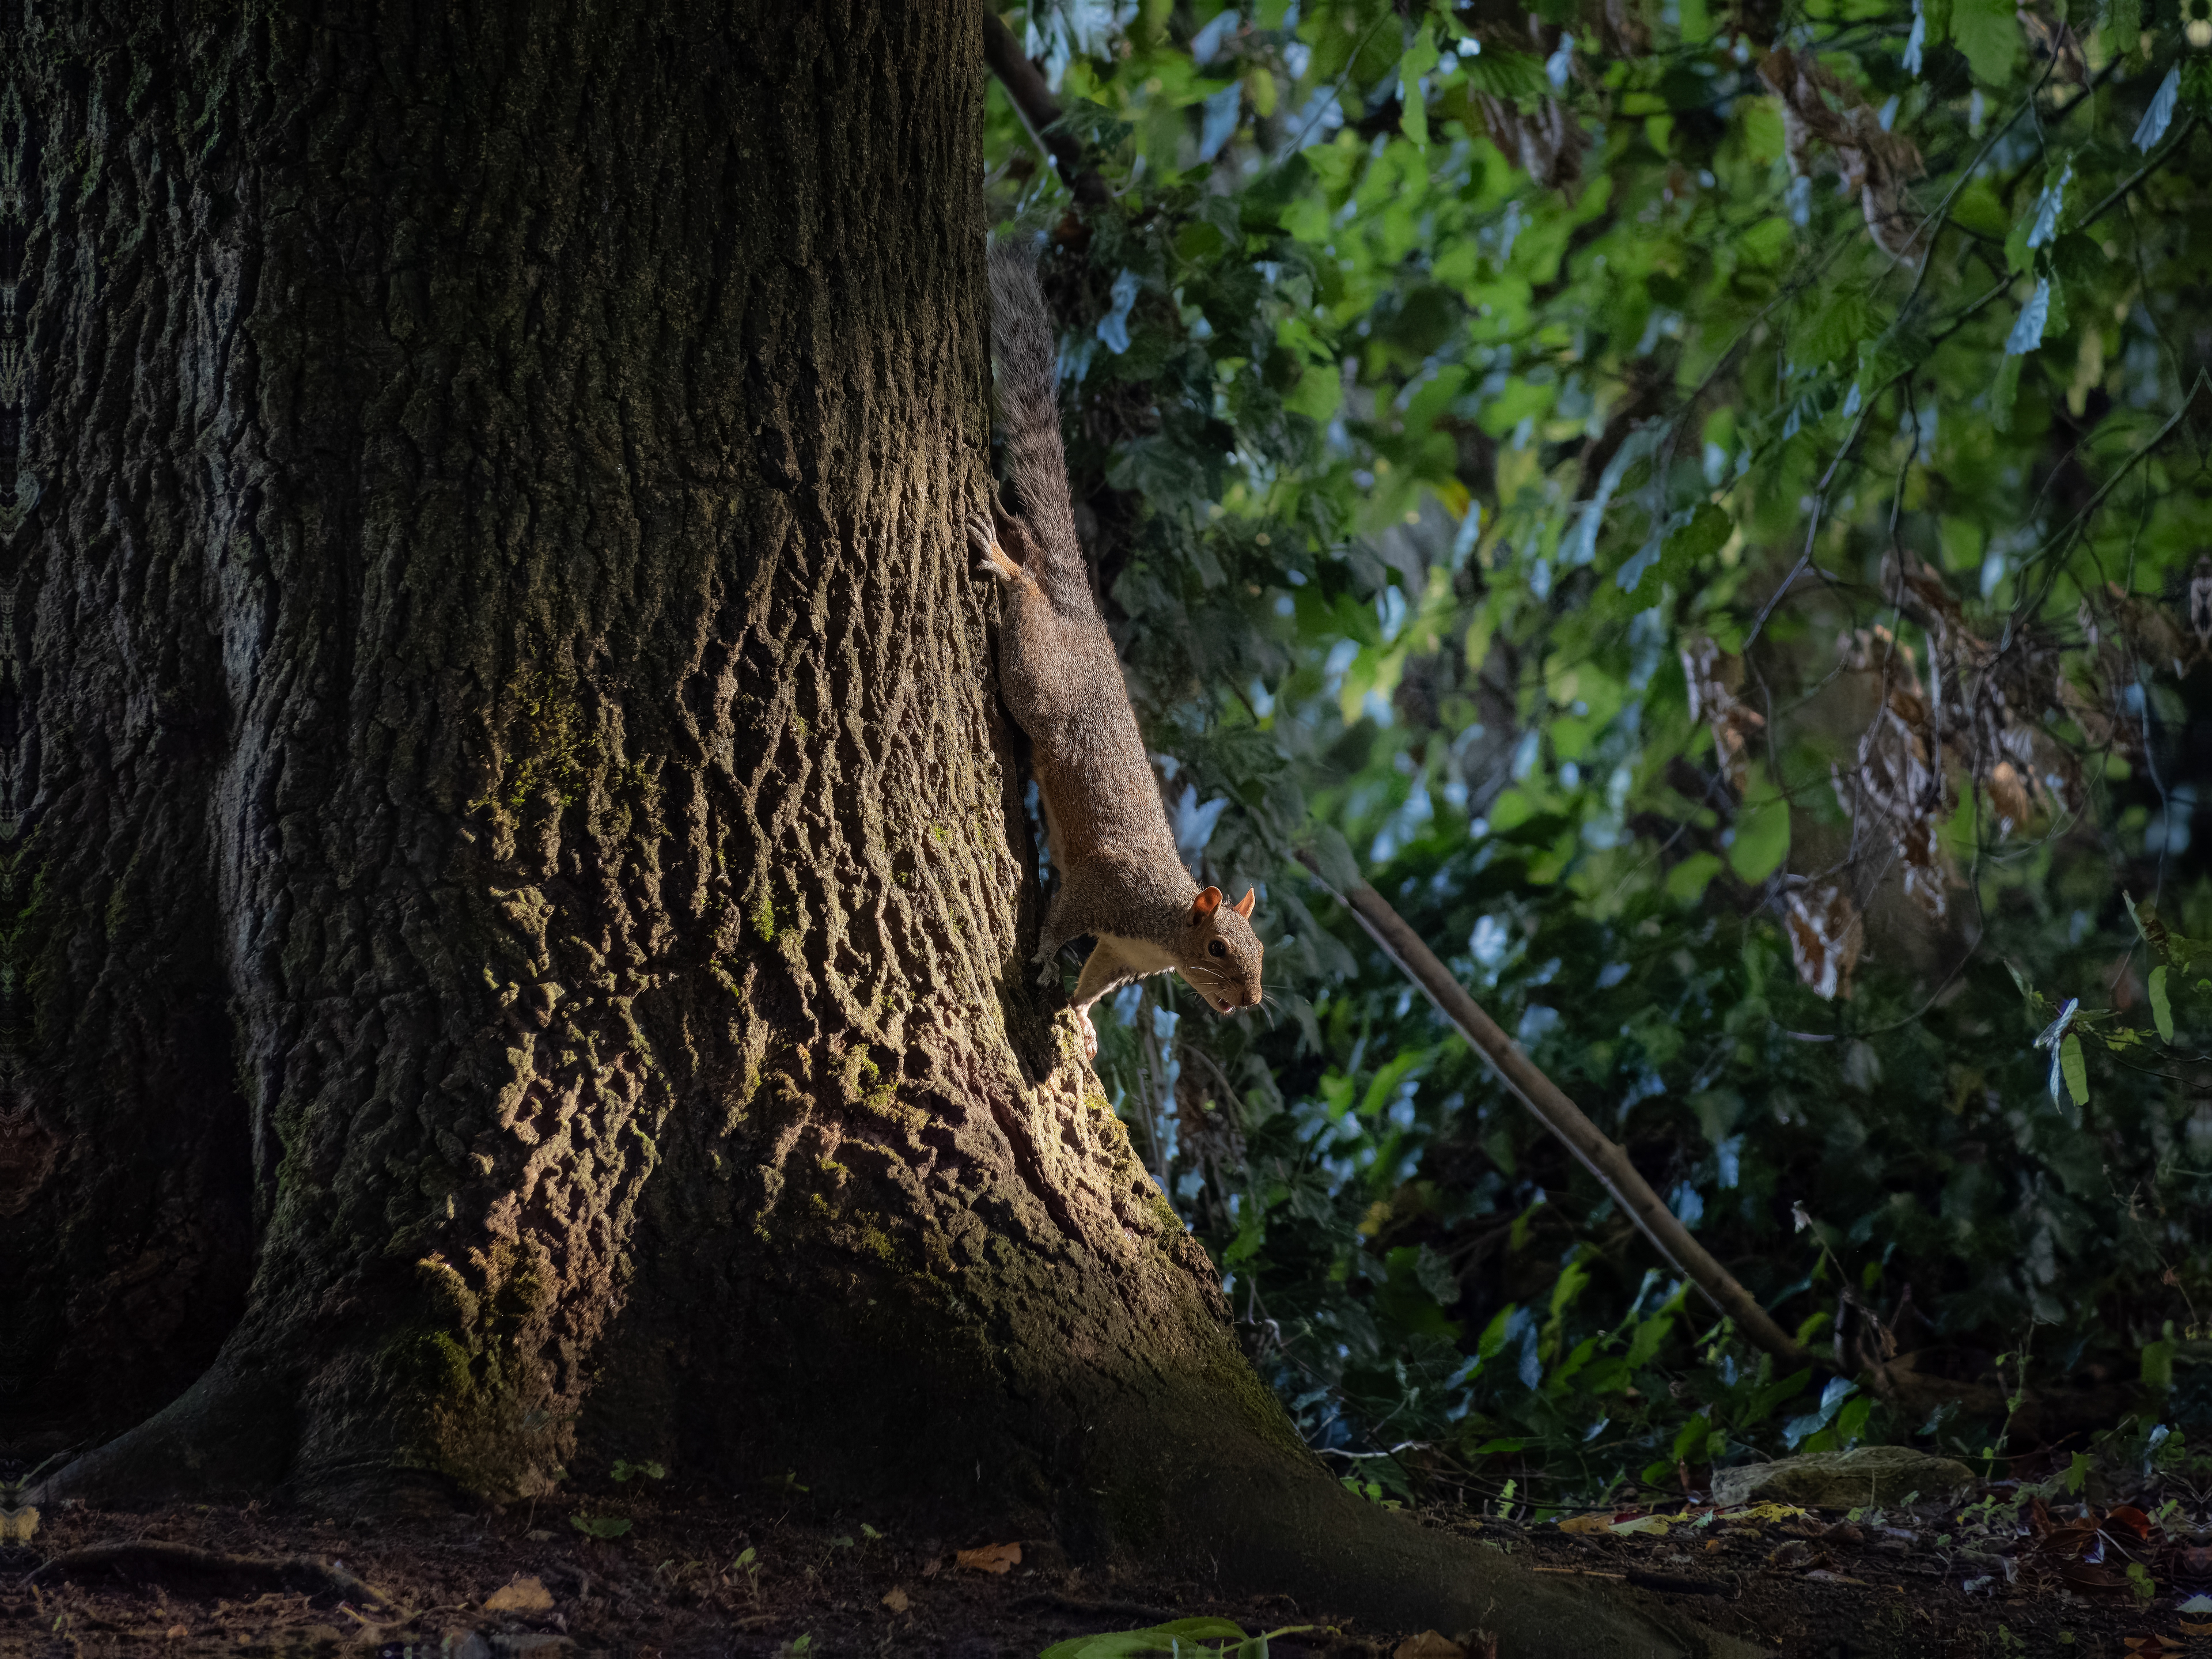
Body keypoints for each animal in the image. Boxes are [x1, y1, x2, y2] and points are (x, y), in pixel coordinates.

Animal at [968, 241, 1264, 1060]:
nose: (1251, 1002)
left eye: (1261, 953)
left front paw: (1081, 1021)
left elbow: (1094, 981)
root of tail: (1086, 621)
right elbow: (1061, 923)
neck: (1162, 925)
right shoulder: (1103, 893)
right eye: (1219, 948)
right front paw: (1041, 962)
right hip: (1042, 679)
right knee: (1028, 611)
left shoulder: (1122, 955)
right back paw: (1009, 568)